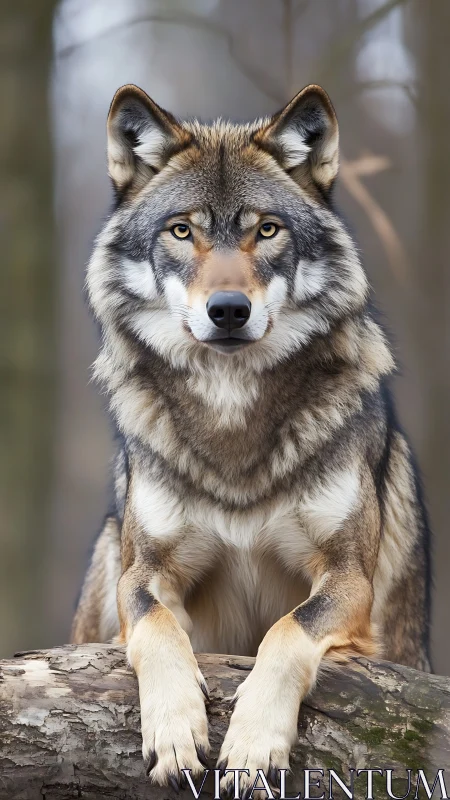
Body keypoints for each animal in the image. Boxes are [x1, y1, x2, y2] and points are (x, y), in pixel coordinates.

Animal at [72, 83, 432, 793]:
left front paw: (252, 744)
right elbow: (157, 627)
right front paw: (176, 732)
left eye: (266, 229)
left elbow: (287, 631)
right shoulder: (144, 574)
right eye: (182, 230)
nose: (229, 310)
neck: (231, 413)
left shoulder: (348, 578)